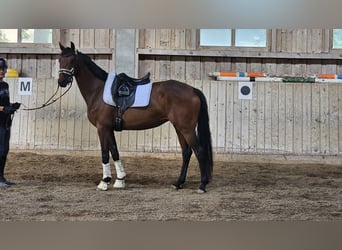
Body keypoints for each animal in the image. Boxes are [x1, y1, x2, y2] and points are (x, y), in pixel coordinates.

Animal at [58, 41, 212, 193]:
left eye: (72, 60)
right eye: (60, 60)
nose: (61, 81)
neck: (98, 90)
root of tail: (193, 90)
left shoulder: (102, 128)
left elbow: (105, 153)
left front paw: (104, 182)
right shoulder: (109, 128)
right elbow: (115, 152)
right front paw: (120, 180)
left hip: (187, 129)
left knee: (199, 151)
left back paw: (202, 185)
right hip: (179, 128)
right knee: (186, 152)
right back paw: (178, 183)